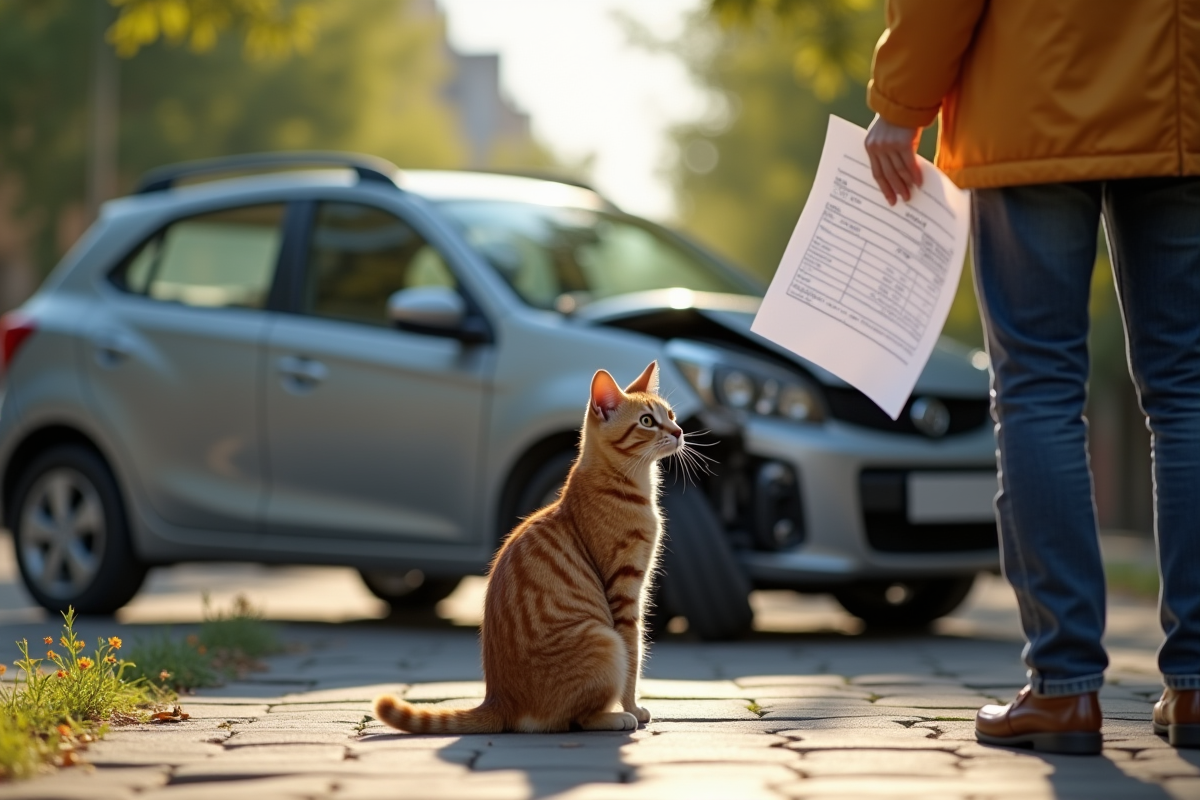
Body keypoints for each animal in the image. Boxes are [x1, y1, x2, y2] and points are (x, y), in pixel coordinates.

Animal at [372, 362, 686, 734]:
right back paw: (615, 717)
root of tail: (498, 701)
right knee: (580, 717)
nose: (680, 431)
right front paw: (633, 706)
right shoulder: (625, 591)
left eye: (670, 414)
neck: (629, 484)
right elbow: (634, 655)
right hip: (604, 640)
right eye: (647, 421)